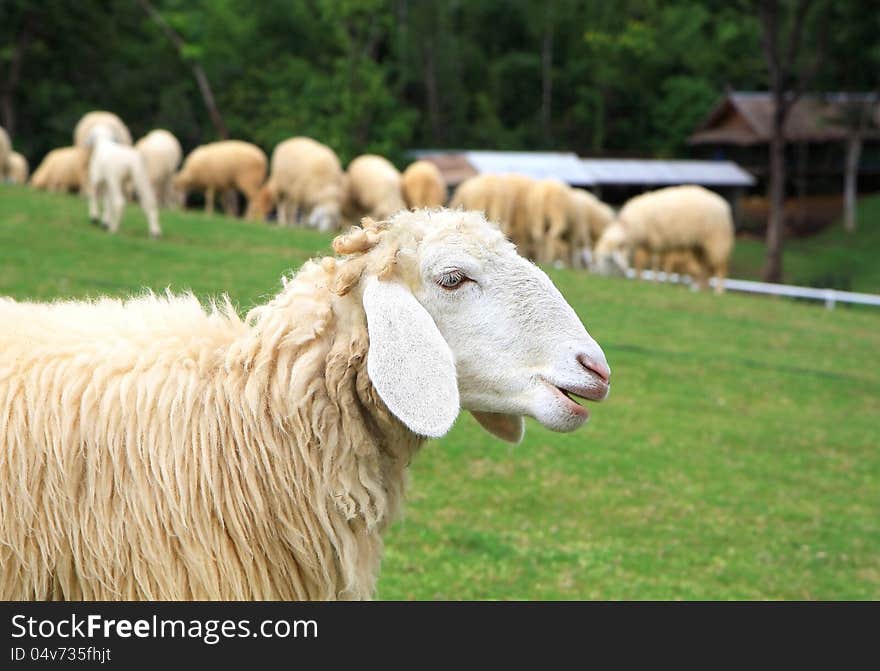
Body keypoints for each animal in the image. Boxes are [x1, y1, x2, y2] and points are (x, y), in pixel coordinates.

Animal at [592, 184, 736, 292]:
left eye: (608, 259)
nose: (600, 276)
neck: (631, 225)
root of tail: (723, 203)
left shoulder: (656, 240)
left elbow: (655, 262)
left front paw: (655, 283)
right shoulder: (646, 245)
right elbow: (641, 263)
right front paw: (640, 281)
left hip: (716, 240)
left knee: (721, 267)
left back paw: (718, 291)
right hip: (699, 246)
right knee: (705, 266)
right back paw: (702, 289)